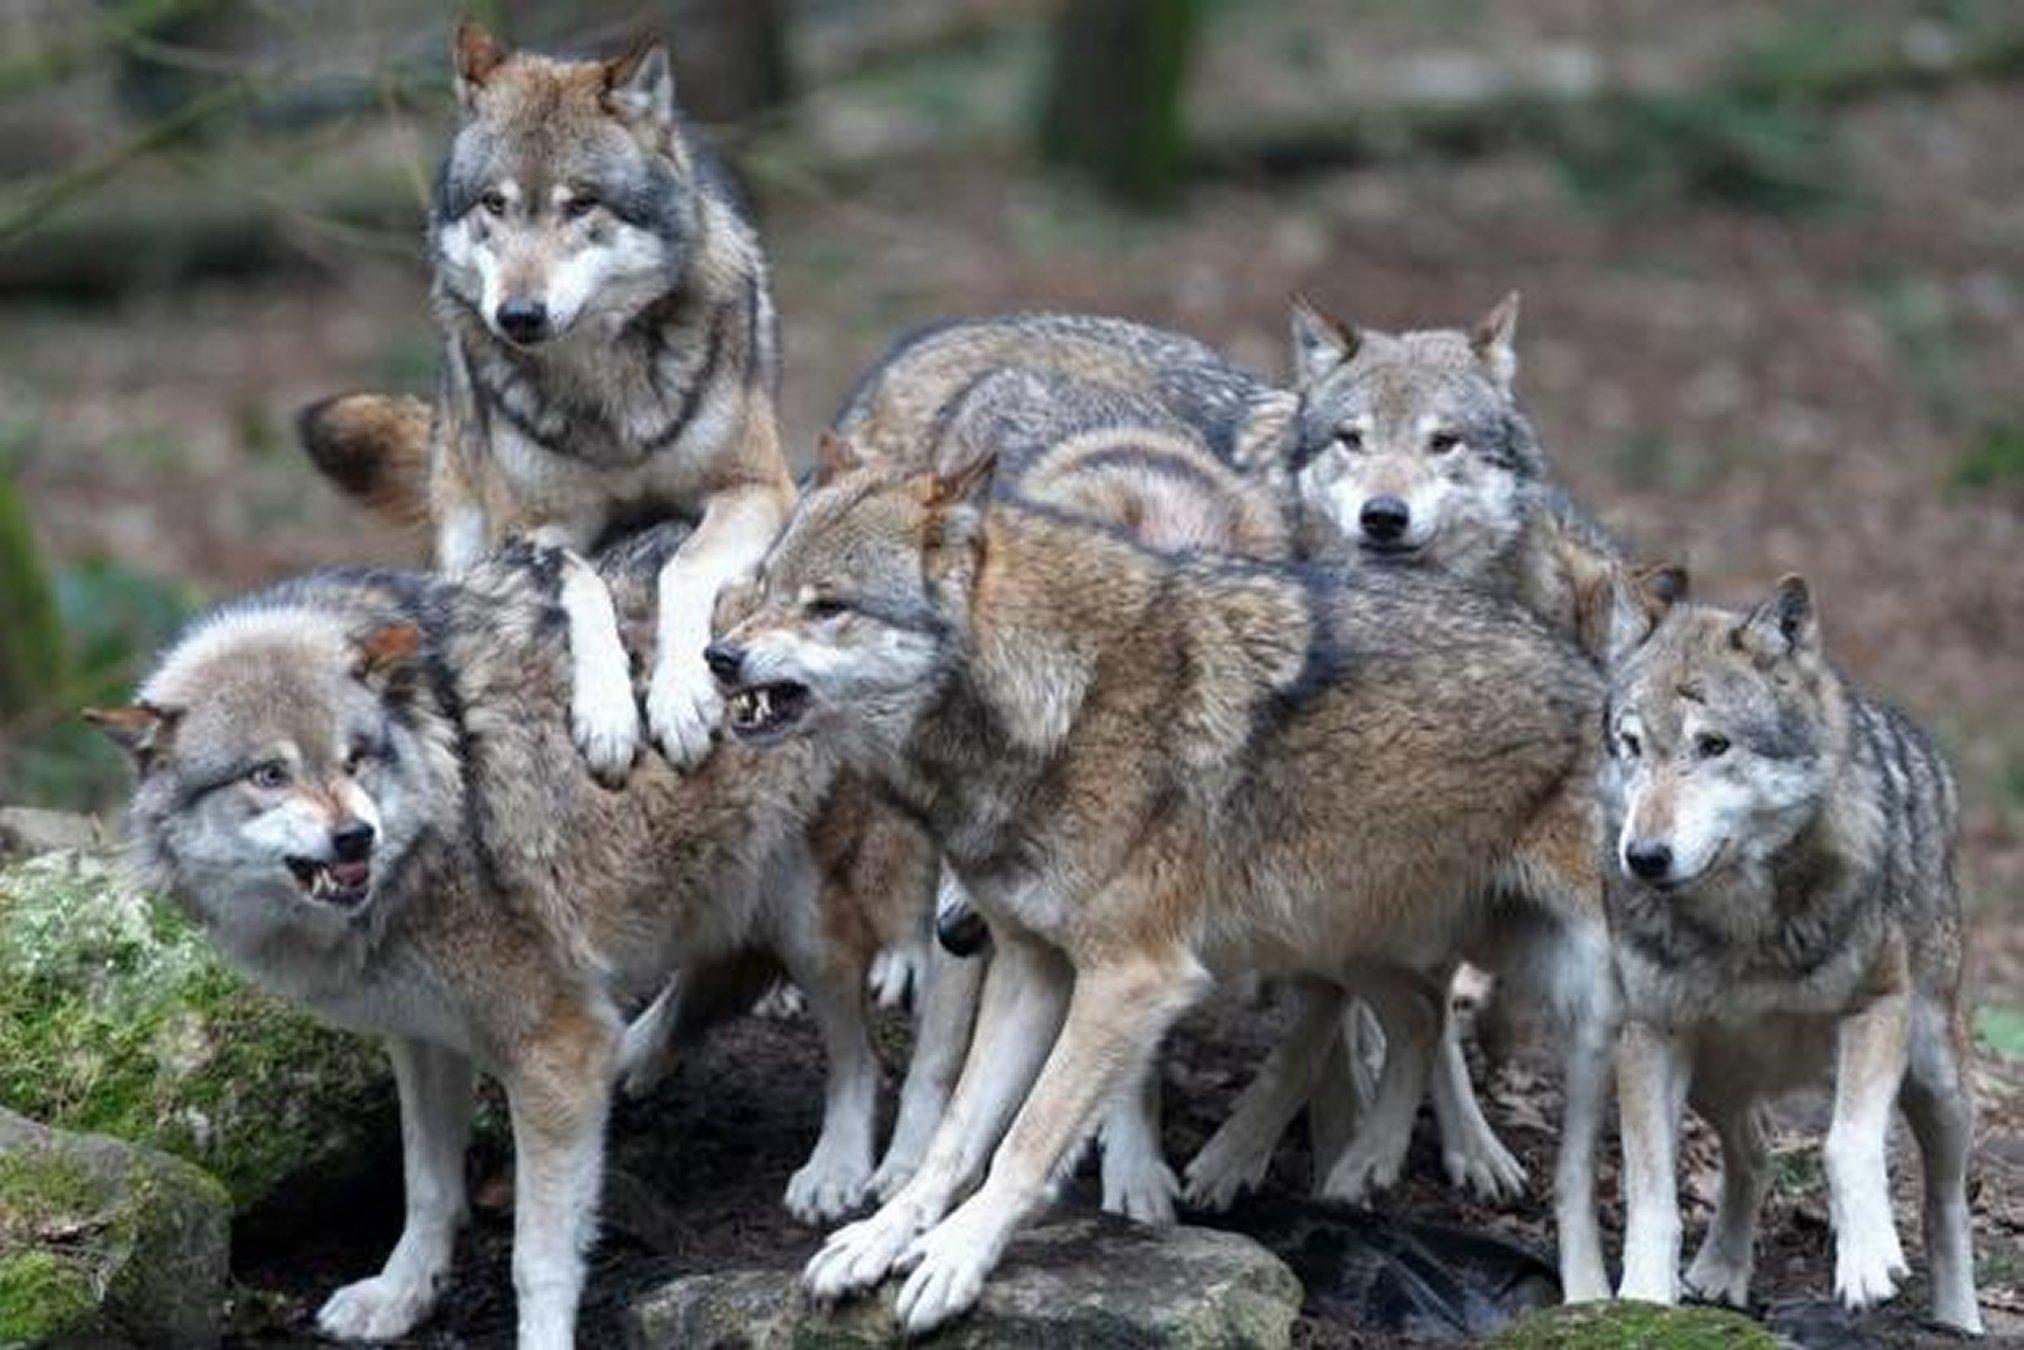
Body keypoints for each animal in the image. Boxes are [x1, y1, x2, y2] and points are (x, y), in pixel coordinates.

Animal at [85, 528, 922, 1349]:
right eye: (268, 775)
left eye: (356, 757)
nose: (356, 837)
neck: (439, 796)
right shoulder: (423, 1037)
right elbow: (427, 1188)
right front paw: (401, 1296)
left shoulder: (554, 1047)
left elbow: (538, 1258)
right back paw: (641, 1059)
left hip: (810, 915)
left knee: (855, 1050)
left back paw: (836, 1170)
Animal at [298, 21, 793, 783]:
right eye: (494, 204)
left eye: (580, 203)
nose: (519, 315)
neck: (606, 391)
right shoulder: (529, 532)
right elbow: (581, 585)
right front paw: (609, 716)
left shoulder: (758, 488)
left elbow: (683, 569)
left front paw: (682, 698)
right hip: (464, 536)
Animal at [705, 430, 1617, 1331]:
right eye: (768, 586)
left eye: (828, 606)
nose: (718, 656)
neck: (1063, 705)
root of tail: (1595, 674)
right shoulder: (1032, 970)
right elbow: (958, 1134)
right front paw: (880, 1238)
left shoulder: (1130, 980)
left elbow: (1025, 1140)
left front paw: (955, 1259)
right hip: (1344, 933)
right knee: (1422, 1013)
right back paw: (1365, 1165)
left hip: (1585, 997)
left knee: (1554, 1143)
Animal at [1599, 573, 1982, 1333]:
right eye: (1630, 745)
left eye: (1713, 745)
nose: (1644, 858)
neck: (1742, 928)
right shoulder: (1649, 1035)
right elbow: (1651, 1190)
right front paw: (1645, 1299)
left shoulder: (1877, 1009)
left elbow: (1846, 1143)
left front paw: (1867, 1263)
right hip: (1717, 1074)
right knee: (1754, 1155)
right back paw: (1721, 1271)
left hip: (1936, 1077)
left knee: (1946, 1209)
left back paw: (1960, 1323)